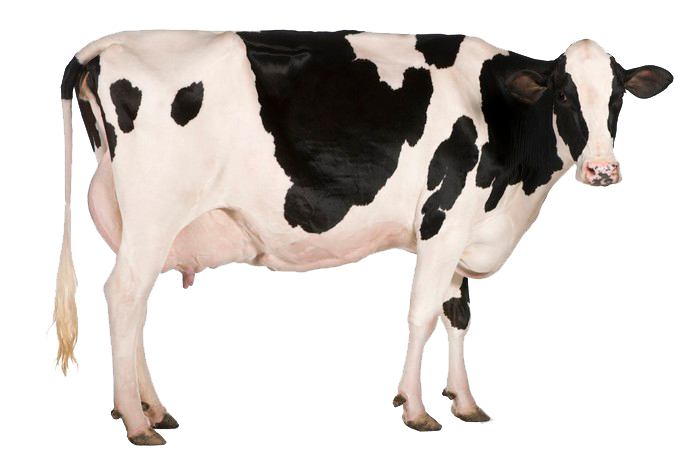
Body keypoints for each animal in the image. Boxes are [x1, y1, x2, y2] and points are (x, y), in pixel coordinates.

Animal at [46, 29, 673, 445]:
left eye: (617, 97)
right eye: (563, 95)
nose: (603, 170)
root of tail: (106, 45)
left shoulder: (463, 234)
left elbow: (458, 316)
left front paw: (466, 402)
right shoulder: (441, 219)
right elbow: (422, 313)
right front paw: (415, 407)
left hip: (136, 222)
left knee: (136, 305)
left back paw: (152, 408)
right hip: (154, 212)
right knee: (124, 295)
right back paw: (135, 421)